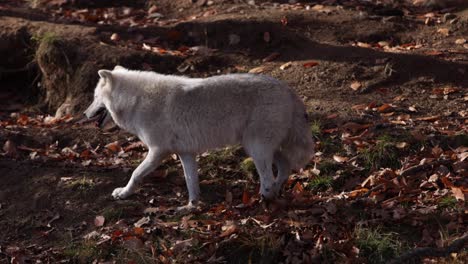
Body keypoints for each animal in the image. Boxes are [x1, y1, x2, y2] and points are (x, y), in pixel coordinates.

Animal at [84, 66, 314, 208]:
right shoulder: (185, 153)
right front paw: (191, 206)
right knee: (285, 167)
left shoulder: (158, 151)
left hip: (256, 148)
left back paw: (263, 200)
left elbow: (135, 173)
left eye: (94, 97)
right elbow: (191, 182)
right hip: (262, 147)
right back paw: (274, 193)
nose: (84, 114)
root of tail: (289, 91)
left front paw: (123, 193)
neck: (136, 101)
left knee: (267, 178)